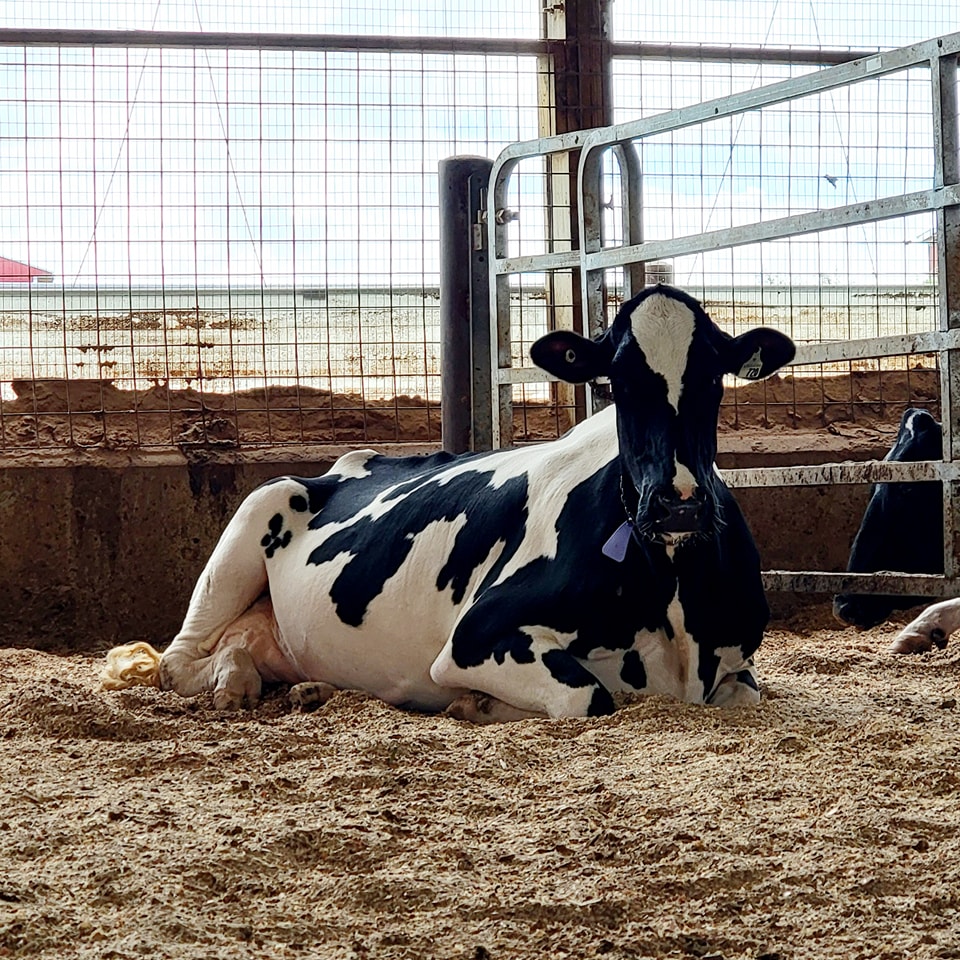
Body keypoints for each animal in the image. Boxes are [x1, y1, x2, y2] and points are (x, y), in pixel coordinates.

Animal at [104, 284, 795, 722]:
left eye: (713, 377)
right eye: (618, 382)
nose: (678, 504)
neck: (675, 601)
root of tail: (350, 462)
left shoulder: (735, 666)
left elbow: (748, 694)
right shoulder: (477, 636)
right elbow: (589, 696)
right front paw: (478, 704)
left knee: (243, 646)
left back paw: (292, 685)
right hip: (253, 516)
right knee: (177, 661)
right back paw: (233, 686)